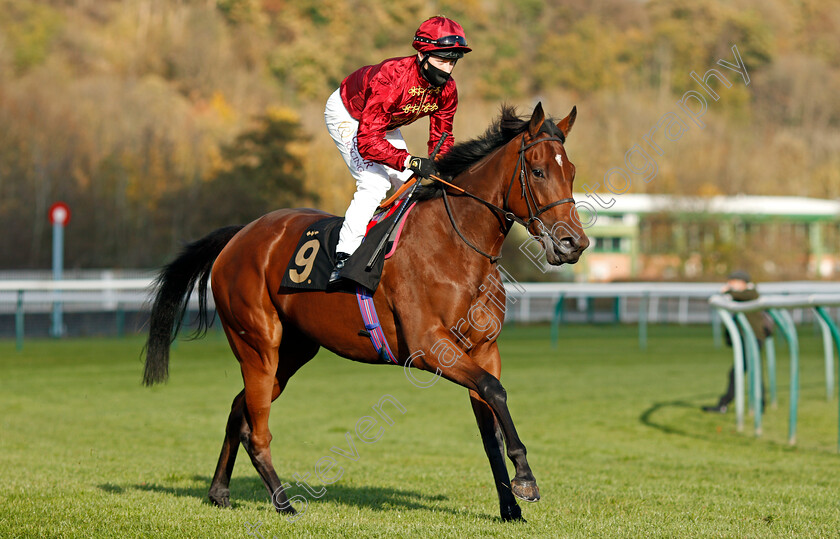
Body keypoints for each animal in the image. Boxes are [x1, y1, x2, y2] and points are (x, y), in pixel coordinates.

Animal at [141, 102, 588, 524]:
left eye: (571, 172)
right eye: (538, 171)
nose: (574, 243)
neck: (454, 245)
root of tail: (239, 236)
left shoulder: (483, 350)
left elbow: (489, 425)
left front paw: (510, 506)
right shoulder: (430, 348)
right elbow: (496, 392)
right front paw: (526, 480)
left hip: (292, 352)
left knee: (240, 409)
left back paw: (219, 492)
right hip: (258, 345)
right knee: (258, 429)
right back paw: (284, 503)